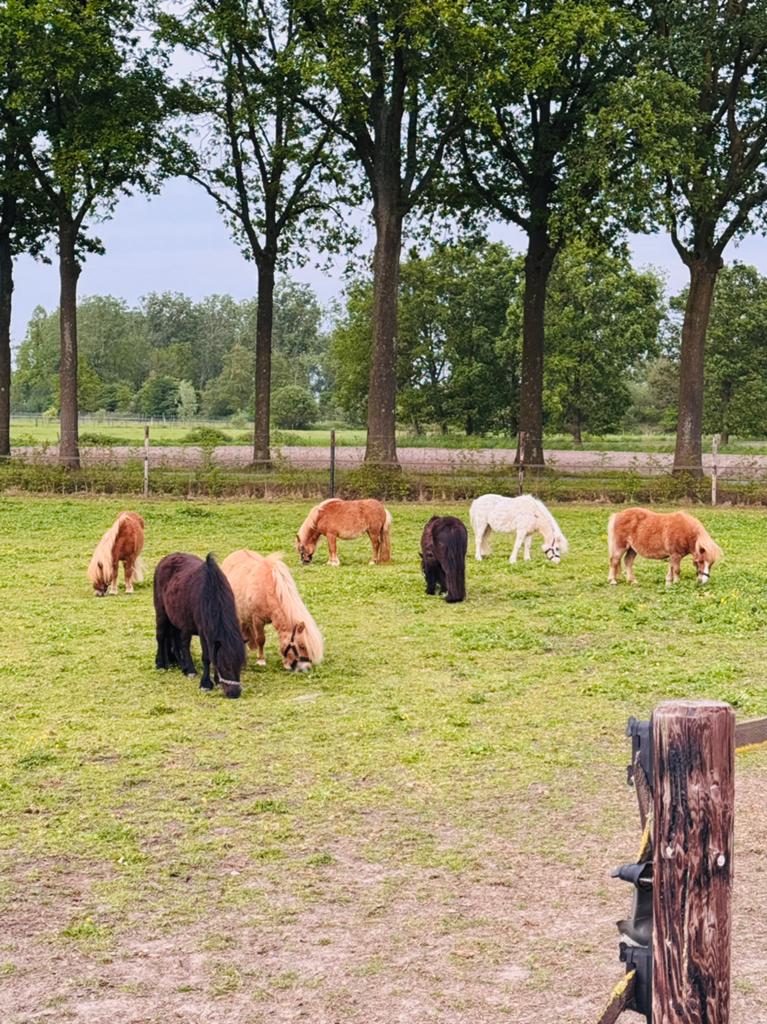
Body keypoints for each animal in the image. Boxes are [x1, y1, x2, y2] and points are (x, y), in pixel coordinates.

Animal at [153, 553, 245, 698]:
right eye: (225, 665)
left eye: (240, 665)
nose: (234, 693)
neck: (212, 596)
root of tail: (166, 559)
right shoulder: (203, 632)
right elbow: (207, 657)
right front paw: (206, 684)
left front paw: (217, 681)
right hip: (161, 613)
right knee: (161, 637)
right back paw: (161, 664)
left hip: (179, 621)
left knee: (181, 643)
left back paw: (185, 667)